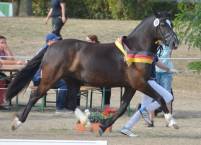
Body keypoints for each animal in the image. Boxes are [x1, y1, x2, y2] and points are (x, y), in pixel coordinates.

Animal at [5, 11, 179, 135]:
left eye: (172, 24)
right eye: (163, 25)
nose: (175, 43)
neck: (135, 50)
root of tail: (52, 46)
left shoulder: (132, 85)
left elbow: (123, 107)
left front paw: (102, 126)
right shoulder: (139, 83)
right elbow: (160, 98)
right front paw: (172, 122)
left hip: (72, 81)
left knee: (70, 103)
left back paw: (87, 123)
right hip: (50, 79)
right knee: (35, 96)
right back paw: (17, 123)